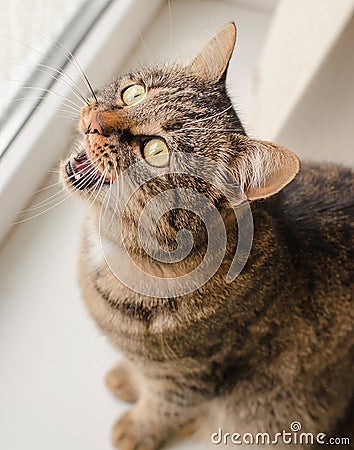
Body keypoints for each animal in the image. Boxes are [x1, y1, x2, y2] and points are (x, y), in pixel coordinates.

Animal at [59, 22, 352, 450]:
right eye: (133, 93)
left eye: (157, 150)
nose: (95, 120)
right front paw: (127, 378)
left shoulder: (188, 380)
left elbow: (160, 408)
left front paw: (136, 428)